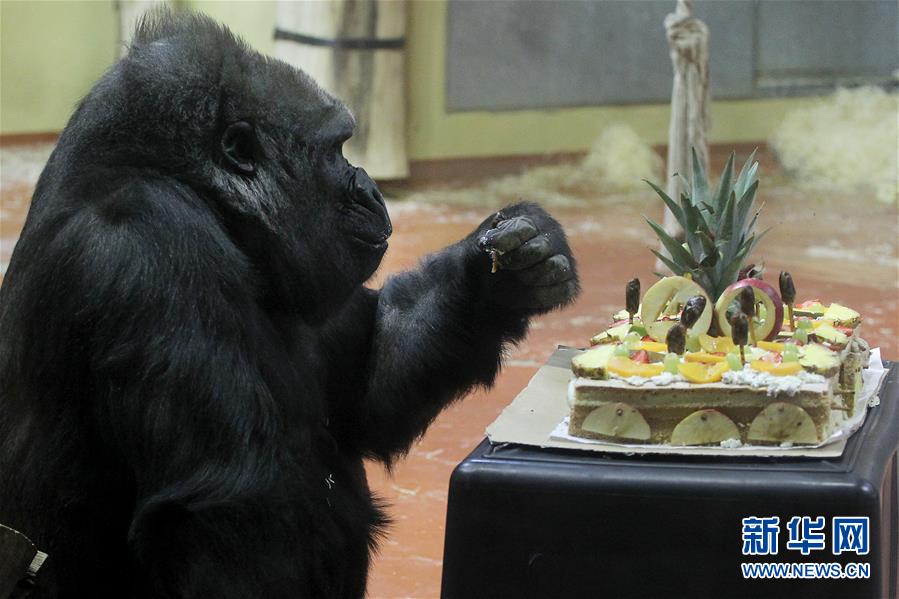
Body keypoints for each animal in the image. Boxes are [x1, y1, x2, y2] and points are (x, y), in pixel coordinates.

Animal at [0, 10, 576, 599]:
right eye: (337, 148)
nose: (369, 187)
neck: (211, 203)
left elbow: (368, 388)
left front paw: (509, 270)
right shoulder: (153, 249)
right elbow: (234, 517)